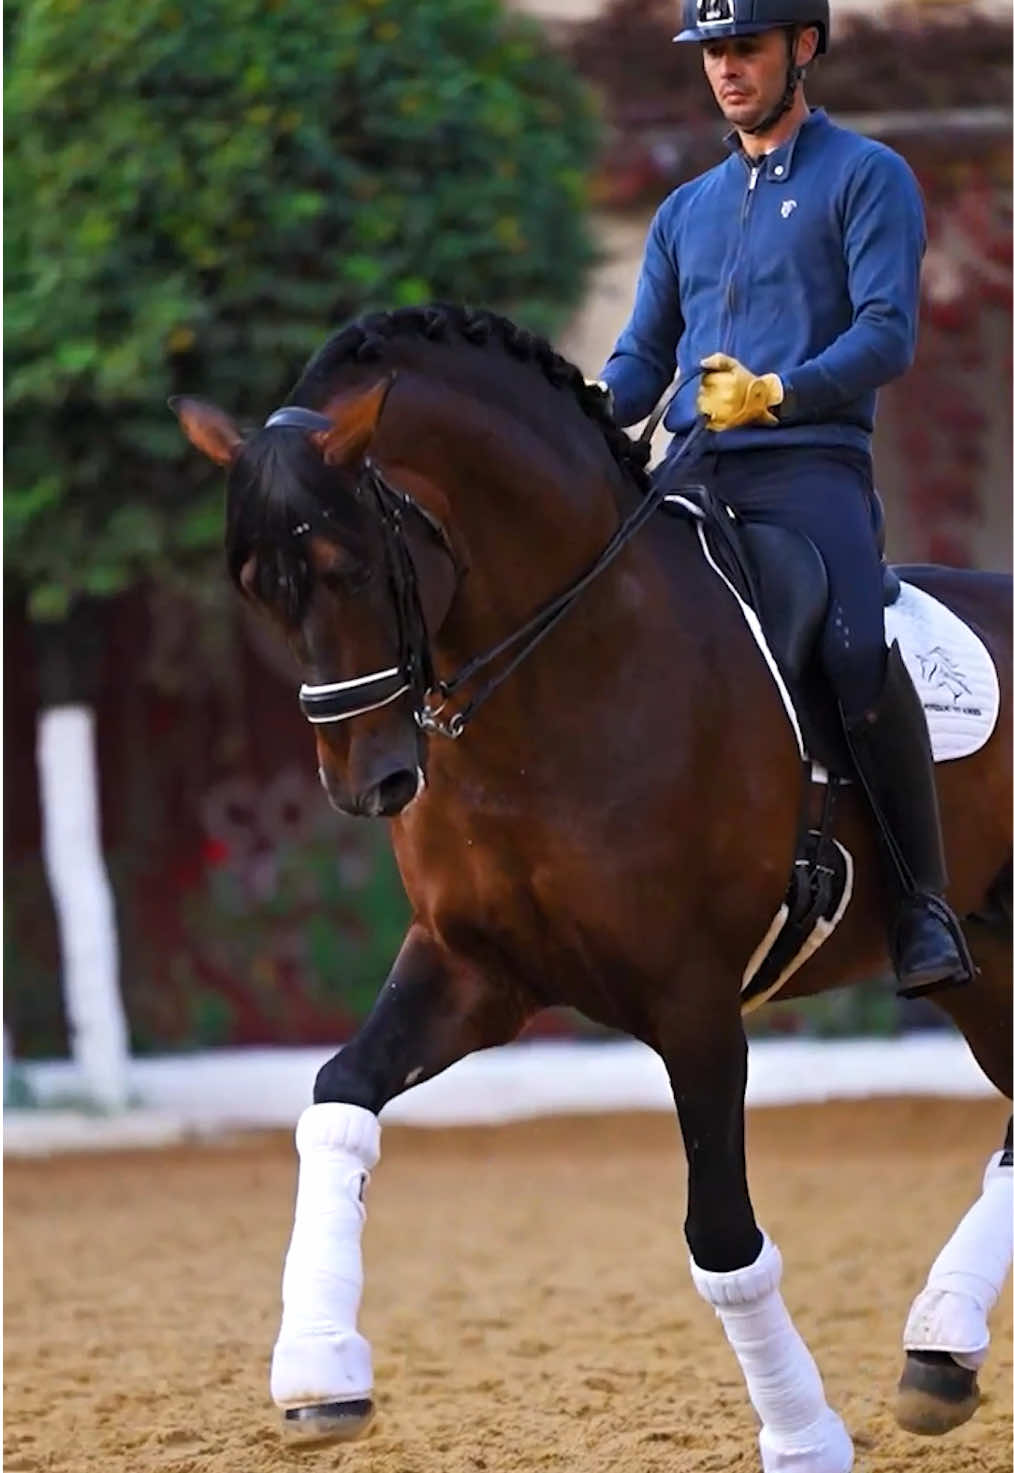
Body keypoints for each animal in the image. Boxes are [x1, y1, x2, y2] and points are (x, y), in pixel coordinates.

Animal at [172, 304, 1012, 1473]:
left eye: (345, 568)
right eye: (256, 586)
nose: (366, 783)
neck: (563, 669)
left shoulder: (694, 1002)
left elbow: (724, 1240)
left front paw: (803, 1437)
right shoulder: (475, 969)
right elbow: (338, 1095)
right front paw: (319, 1373)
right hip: (990, 966)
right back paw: (941, 1348)